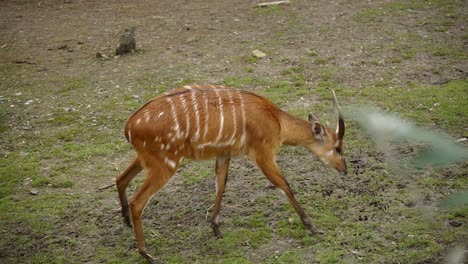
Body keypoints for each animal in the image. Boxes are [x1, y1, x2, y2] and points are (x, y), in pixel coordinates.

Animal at [115, 85, 346, 262]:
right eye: (337, 147)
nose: (344, 169)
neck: (276, 120)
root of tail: (128, 127)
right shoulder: (263, 154)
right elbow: (284, 186)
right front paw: (313, 227)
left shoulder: (224, 154)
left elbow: (221, 185)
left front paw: (216, 229)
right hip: (166, 164)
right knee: (137, 201)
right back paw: (146, 254)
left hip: (147, 160)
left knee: (120, 178)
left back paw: (126, 221)